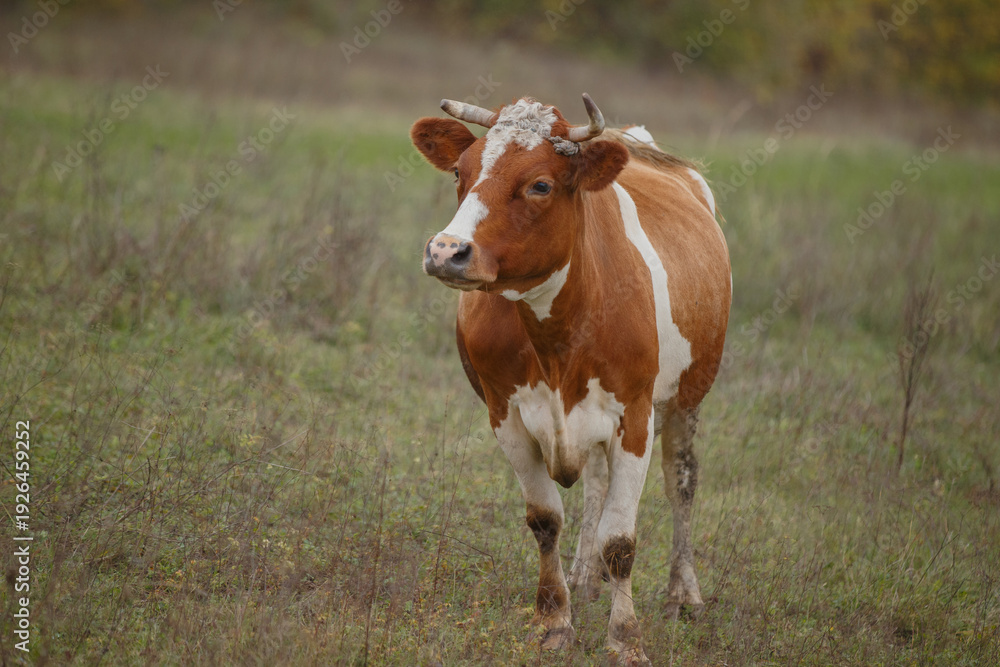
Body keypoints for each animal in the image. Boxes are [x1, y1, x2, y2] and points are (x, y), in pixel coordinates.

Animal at [410, 94, 731, 665]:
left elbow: (621, 540)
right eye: (460, 172)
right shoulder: (506, 414)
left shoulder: (636, 416)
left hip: (688, 397)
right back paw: (584, 578)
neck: (557, 335)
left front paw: (625, 639)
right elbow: (546, 520)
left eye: (540, 185)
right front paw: (554, 620)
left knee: (682, 483)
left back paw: (684, 595)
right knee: (597, 485)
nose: (447, 251)